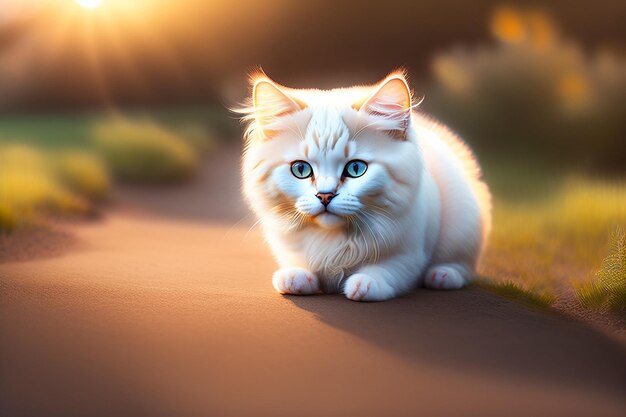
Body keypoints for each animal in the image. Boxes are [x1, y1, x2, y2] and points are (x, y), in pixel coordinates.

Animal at [238, 70, 488, 300]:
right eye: (301, 169)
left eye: (356, 169)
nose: (325, 195)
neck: (334, 238)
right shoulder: (289, 245)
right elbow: (299, 262)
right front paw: (295, 276)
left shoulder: (410, 253)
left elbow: (388, 270)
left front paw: (365, 283)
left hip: (462, 224)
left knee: (462, 265)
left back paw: (442, 275)